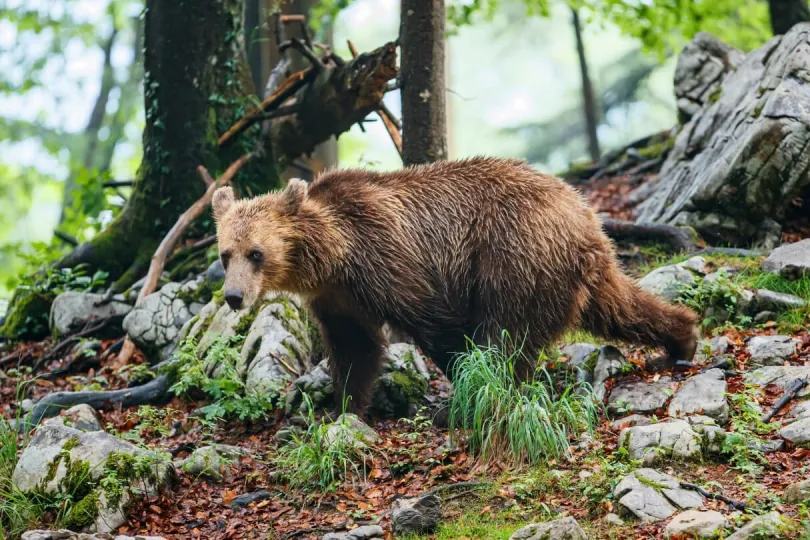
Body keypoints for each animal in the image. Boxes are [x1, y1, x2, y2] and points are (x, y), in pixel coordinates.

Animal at [211, 156, 696, 414]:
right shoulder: (337, 298)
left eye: (256, 253)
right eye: (225, 254)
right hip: (576, 273)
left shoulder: (386, 257)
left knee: (508, 330)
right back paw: (683, 336)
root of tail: (584, 214)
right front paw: (342, 408)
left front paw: (463, 381)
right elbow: (355, 348)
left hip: (514, 256)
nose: (234, 297)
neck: (333, 254)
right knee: (619, 306)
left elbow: (435, 324)